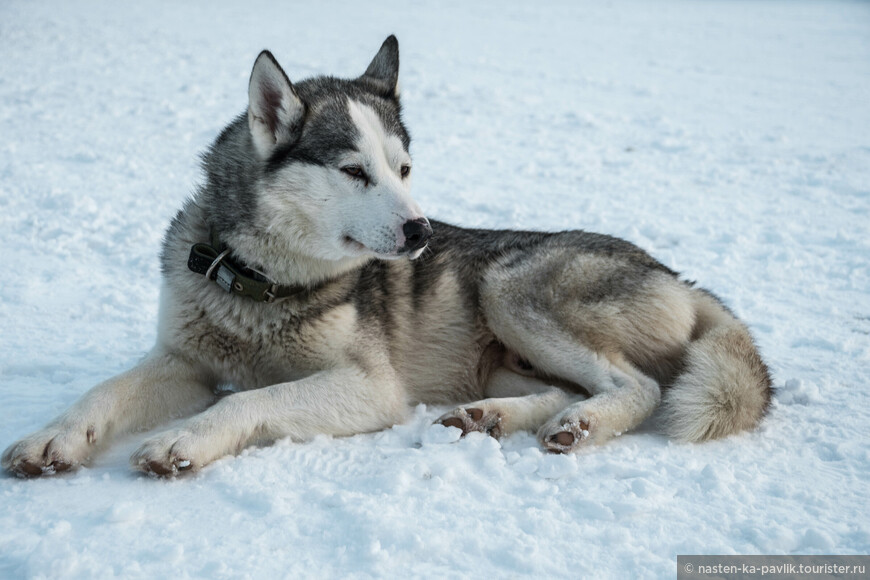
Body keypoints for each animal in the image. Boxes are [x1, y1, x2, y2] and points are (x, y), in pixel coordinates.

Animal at [3, 38, 772, 478]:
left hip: (510, 290)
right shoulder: (183, 359)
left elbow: (253, 397)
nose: (421, 230)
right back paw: (489, 418)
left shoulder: (370, 387)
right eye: (355, 172)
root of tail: (680, 277)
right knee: (566, 388)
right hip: (503, 346)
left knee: (635, 388)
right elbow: (103, 392)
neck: (263, 286)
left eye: (404, 169)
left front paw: (182, 440)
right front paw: (52, 439)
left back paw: (579, 427)